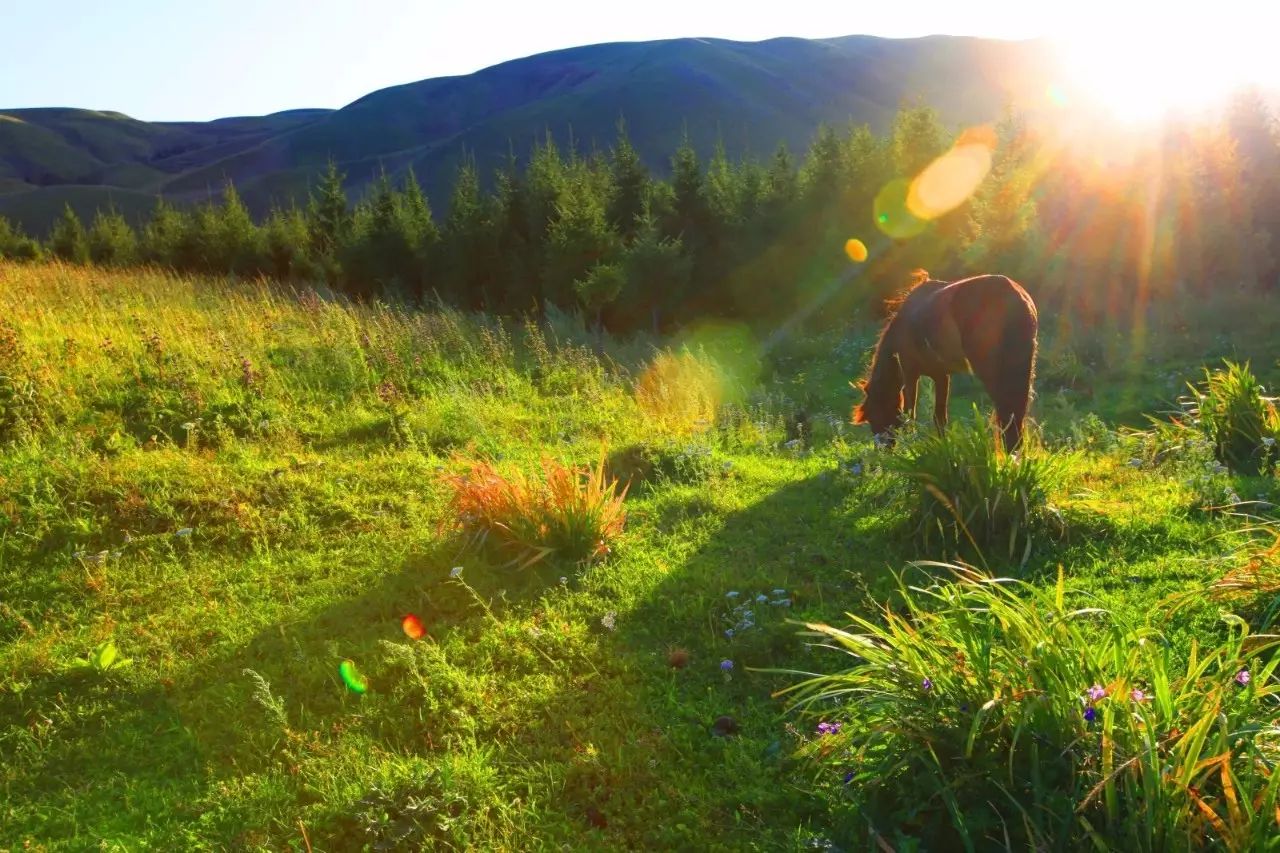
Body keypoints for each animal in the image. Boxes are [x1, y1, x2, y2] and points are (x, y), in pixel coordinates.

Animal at [849, 270, 1039, 450]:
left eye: (872, 415)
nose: (883, 449)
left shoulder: (910, 373)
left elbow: (910, 413)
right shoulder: (941, 376)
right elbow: (939, 418)